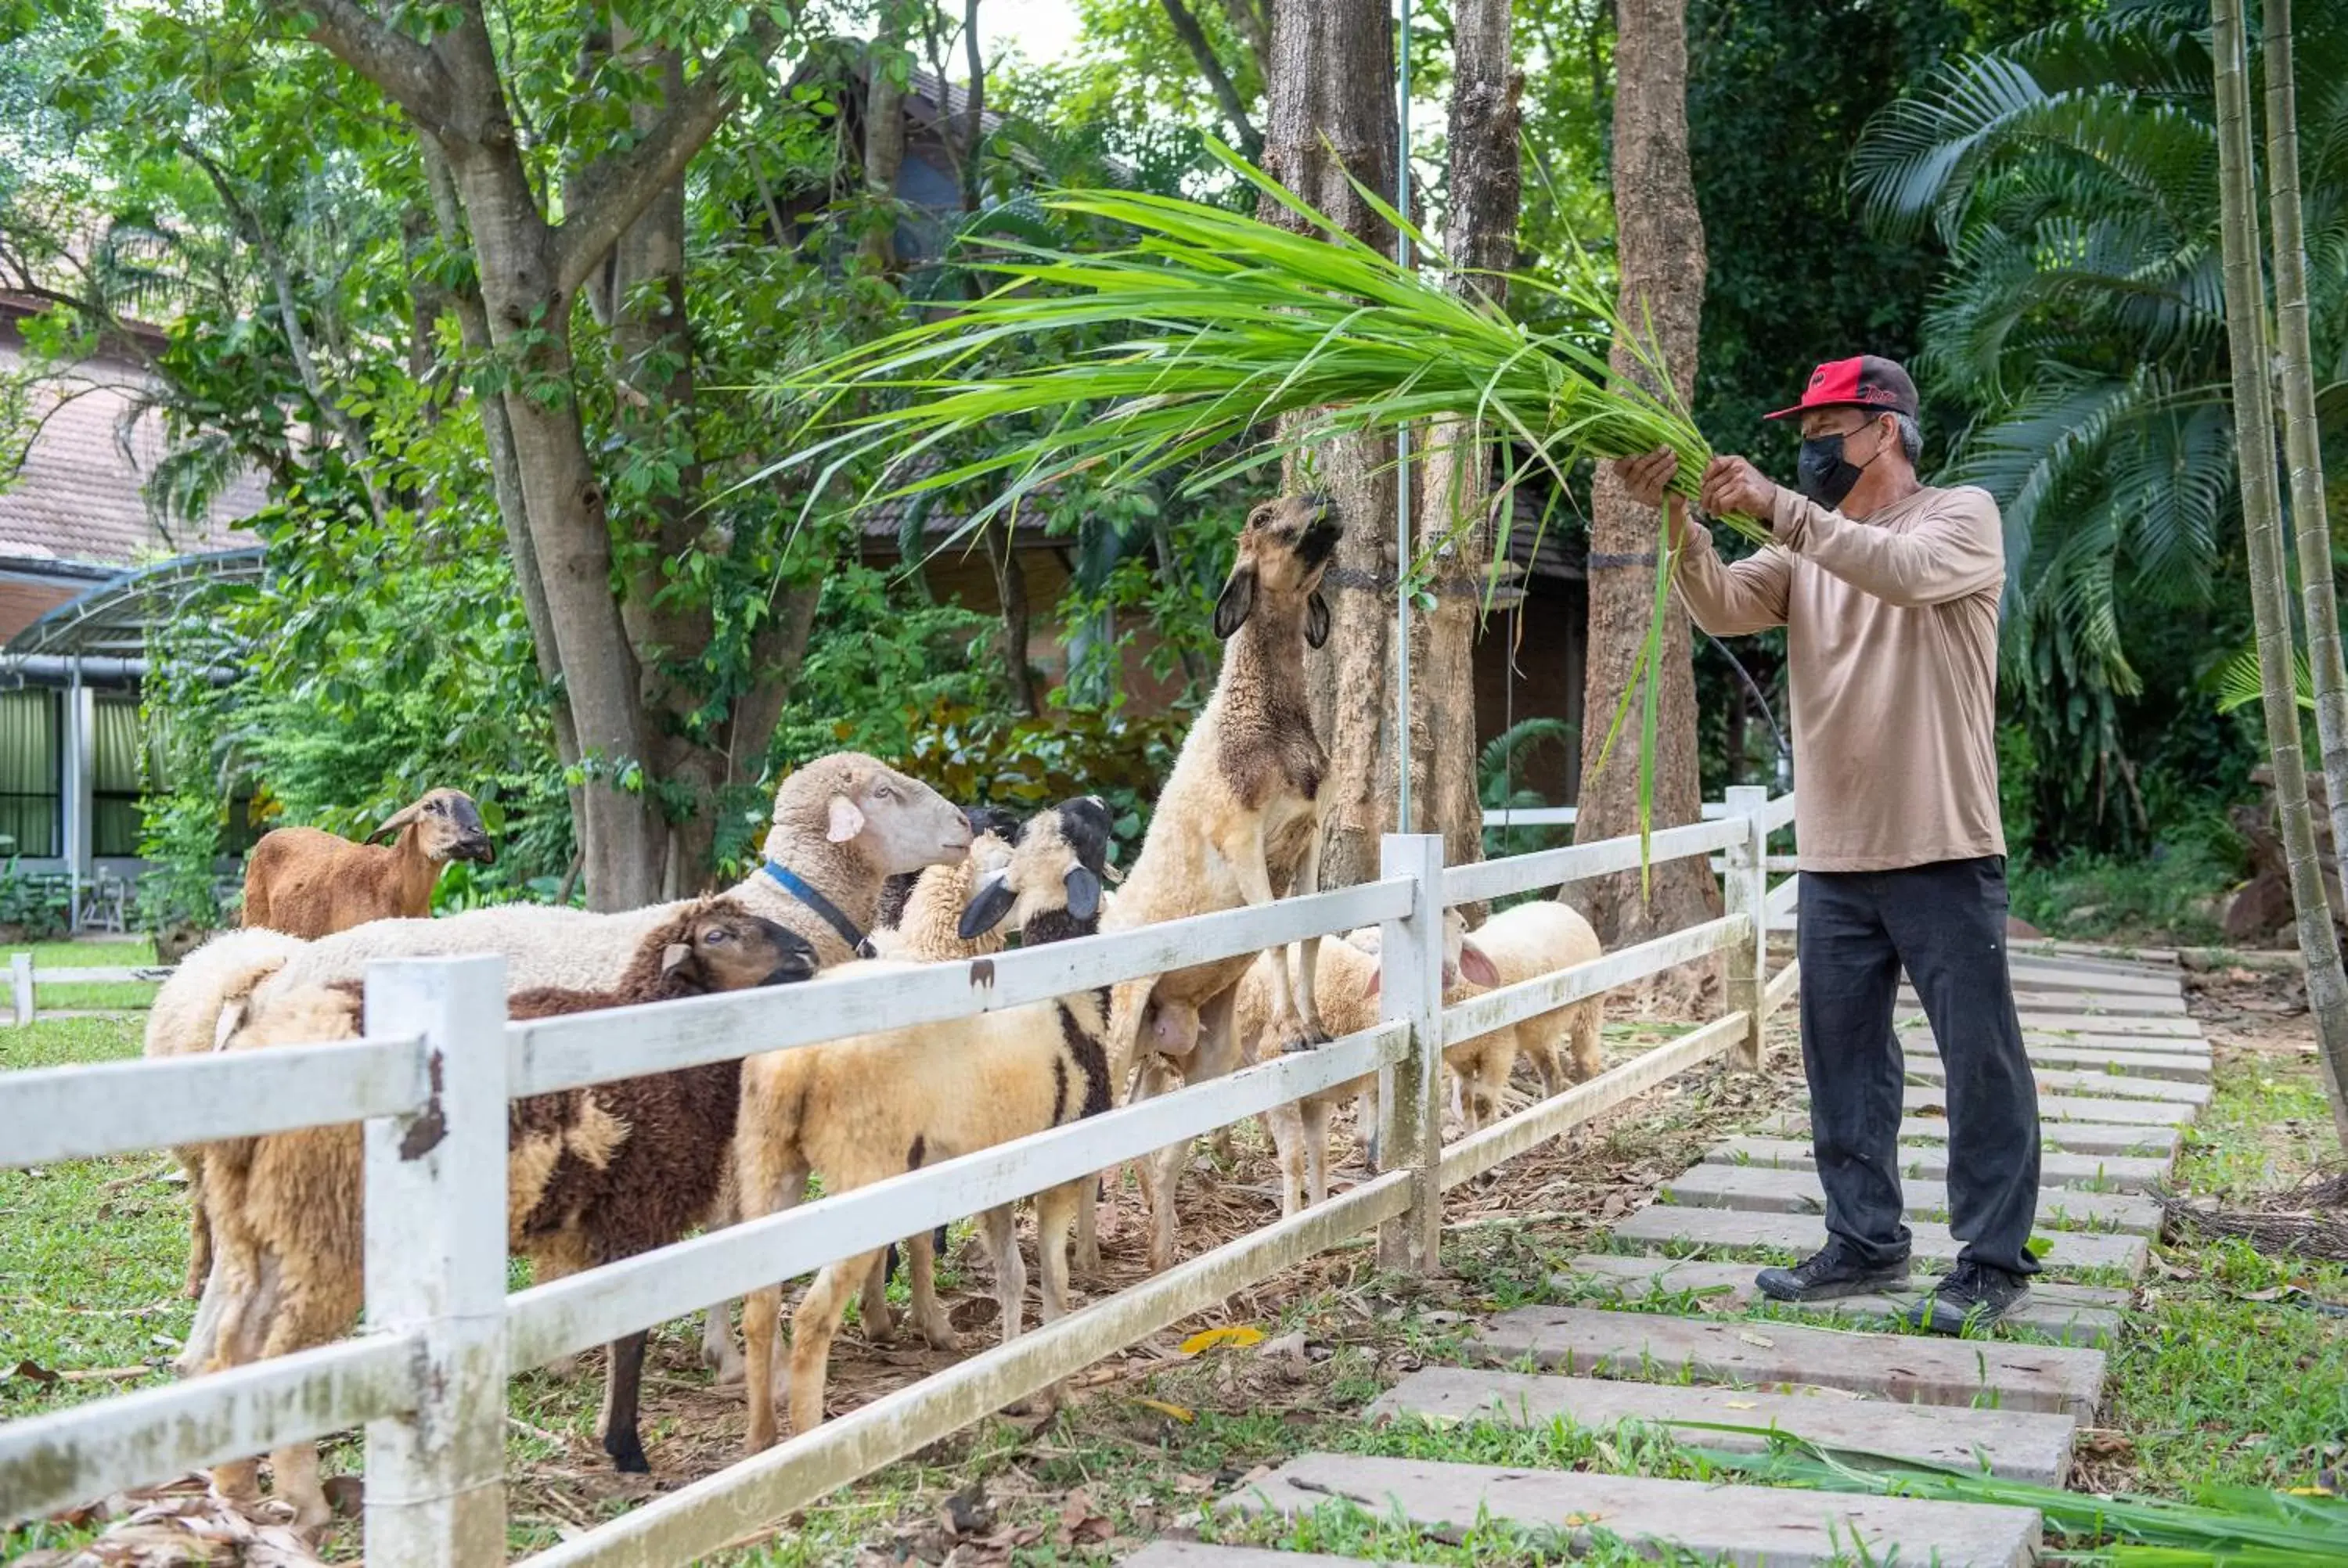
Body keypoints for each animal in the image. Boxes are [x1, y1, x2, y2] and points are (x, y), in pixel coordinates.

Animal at [204, 901, 826, 1521]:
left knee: (239, 1345)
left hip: (261, 1227)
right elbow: (629, 1336)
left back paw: (238, 1489)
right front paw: (626, 1449)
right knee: (284, 1357)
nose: (808, 954)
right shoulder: (636, 1210)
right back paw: (304, 1500)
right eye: (719, 936)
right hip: (325, 1227)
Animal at [742, 803, 1118, 1455]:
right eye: (1087, 836)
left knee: (761, 1303)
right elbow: (1055, 1280)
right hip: (862, 1181)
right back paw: (812, 1447)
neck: (1068, 995)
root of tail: (801, 1062)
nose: (1099, 803)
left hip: (773, 1165)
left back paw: (763, 1438)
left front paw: (1012, 1381)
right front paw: (1057, 1389)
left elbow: (1013, 1278)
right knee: (812, 1317)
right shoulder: (1058, 1175)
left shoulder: (996, 1179)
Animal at [1085, 495, 1343, 1277]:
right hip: (1117, 1034)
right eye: (1263, 515)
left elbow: (1309, 934)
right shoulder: (1244, 840)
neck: (1269, 721)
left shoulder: (1309, 837)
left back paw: (1163, 1251)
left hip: (1198, 1051)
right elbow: (1277, 935)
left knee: (1156, 1146)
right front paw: (1294, 1033)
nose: (1328, 505)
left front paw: (1313, 1026)